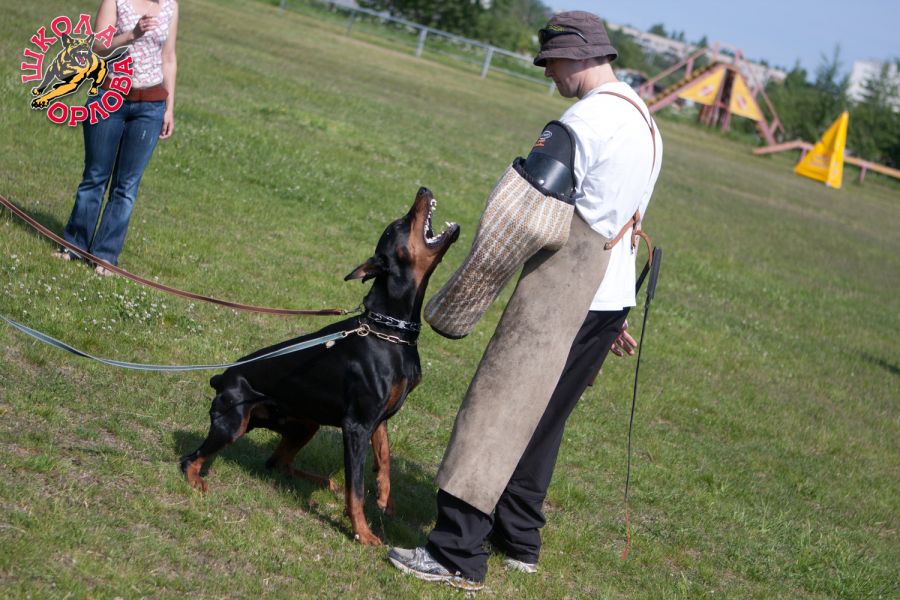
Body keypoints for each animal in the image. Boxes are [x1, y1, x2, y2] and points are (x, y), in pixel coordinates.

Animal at [180, 187, 459, 545]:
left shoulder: (377, 418)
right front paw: (363, 533)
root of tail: (222, 377)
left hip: (306, 424)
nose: (423, 190)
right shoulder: (357, 425)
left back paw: (324, 482)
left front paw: (385, 498)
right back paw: (196, 480)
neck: (390, 330)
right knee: (192, 458)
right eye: (400, 224)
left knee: (278, 462)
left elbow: (385, 457)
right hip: (234, 421)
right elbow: (357, 489)